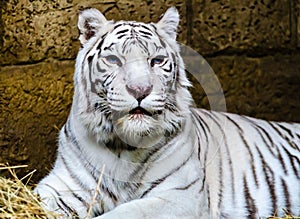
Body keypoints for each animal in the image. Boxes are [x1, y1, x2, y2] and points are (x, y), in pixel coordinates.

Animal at [35, 6, 300, 219]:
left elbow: (126, 213)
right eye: (113, 60)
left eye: (156, 60)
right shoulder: (61, 185)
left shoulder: (181, 195)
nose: (140, 90)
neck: (122, 147)